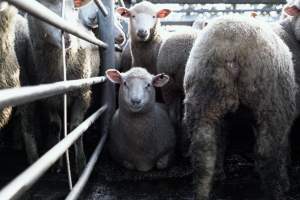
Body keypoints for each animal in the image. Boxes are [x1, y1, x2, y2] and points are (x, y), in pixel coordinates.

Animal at [184, 16, 296, 200]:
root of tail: (232, 45)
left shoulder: (225, 118)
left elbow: (221, 140)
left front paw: (219, 174)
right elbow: (283, 147)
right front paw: (285, 181)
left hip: (203, 98)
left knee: (203, 149)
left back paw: (202, 191)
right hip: (271, 102)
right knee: (267, 152)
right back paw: (276, 192)